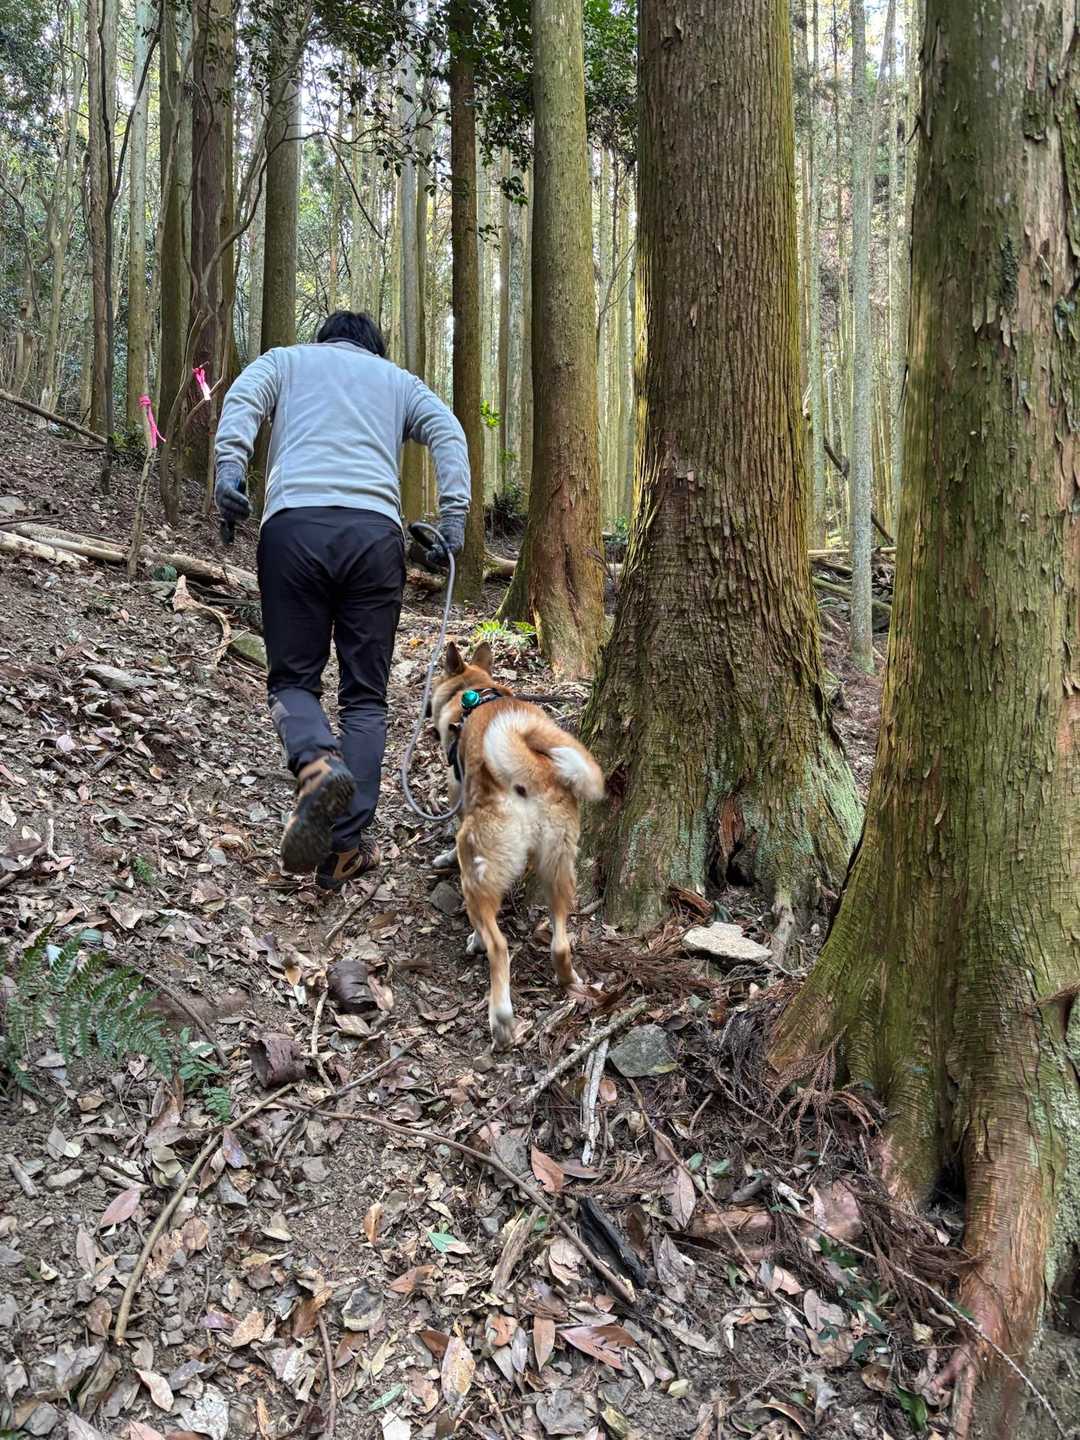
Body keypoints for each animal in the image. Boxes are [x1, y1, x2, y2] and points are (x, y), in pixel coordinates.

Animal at [429, 641, 605, 1050]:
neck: (473, 693)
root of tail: (534, 773)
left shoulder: (457, 792)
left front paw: (444, 856)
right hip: (560, 870)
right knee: (560, 943)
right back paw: (567, 980)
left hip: (477, 870)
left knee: (499, 946)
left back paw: (501, 1017)